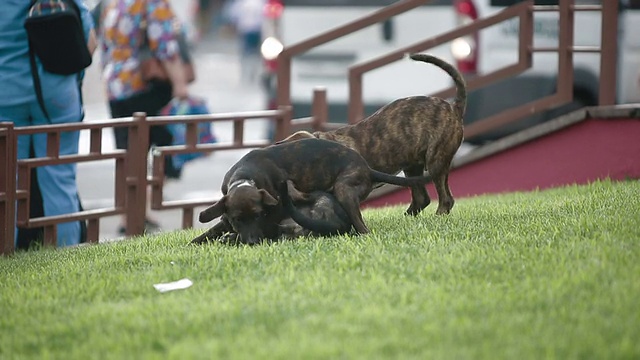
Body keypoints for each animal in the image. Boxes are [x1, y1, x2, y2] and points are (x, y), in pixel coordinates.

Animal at [191, 137, 430, 245]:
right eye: (238, 219)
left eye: (258, 215)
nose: (252, 242)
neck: (244, 179)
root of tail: (367, 168)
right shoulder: (227, 213)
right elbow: (214, 228)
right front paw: (197, 242)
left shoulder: (273, 214)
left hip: (344, 190)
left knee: (362, 227)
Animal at [278, 52, 468, 217]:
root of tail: (453, 108)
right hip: (412, 166)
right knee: (421, 198)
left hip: (436, 161)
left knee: (445, 199)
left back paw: (438, 215)